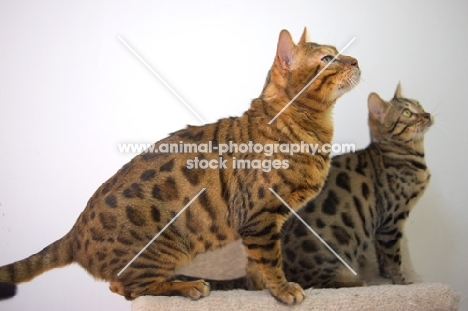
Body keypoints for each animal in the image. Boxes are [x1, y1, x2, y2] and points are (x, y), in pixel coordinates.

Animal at [0, 28, 360, 306]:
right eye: (327, 59)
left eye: (340, 55)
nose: (356, 60)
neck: (312, 129)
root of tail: (74, 234)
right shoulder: (259, 218)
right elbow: (271, 260)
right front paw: (283, 290)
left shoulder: (261, 224)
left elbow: (255, 264)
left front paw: (257, 291)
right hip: (166, 248)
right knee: (127, 287)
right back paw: (189, 285)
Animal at [182, 84, 432, 292]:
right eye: (407, 113)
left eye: (420, 105)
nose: (427, 115)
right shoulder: (391, 221)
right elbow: (393, 258)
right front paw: (402, 282)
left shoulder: (384, 226)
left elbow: (383, 258)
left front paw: (387, 278)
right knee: (317, 283)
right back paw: (354, 282)